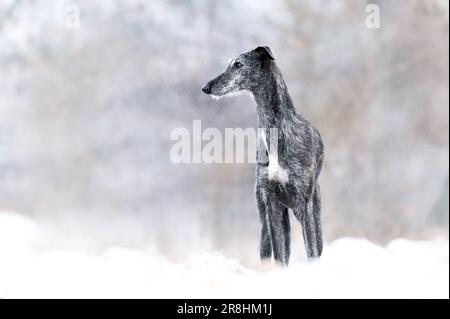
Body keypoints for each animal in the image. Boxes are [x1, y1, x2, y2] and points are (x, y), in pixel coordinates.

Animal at [201, 46, 324, 266]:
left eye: (238, 64)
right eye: (230, 63)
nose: (205, 87)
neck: (277, 133)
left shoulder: (304, 205)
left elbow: (311, 251)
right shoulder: (271, 204)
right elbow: (280, 256)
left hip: (312, 212)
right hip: (267, 221)